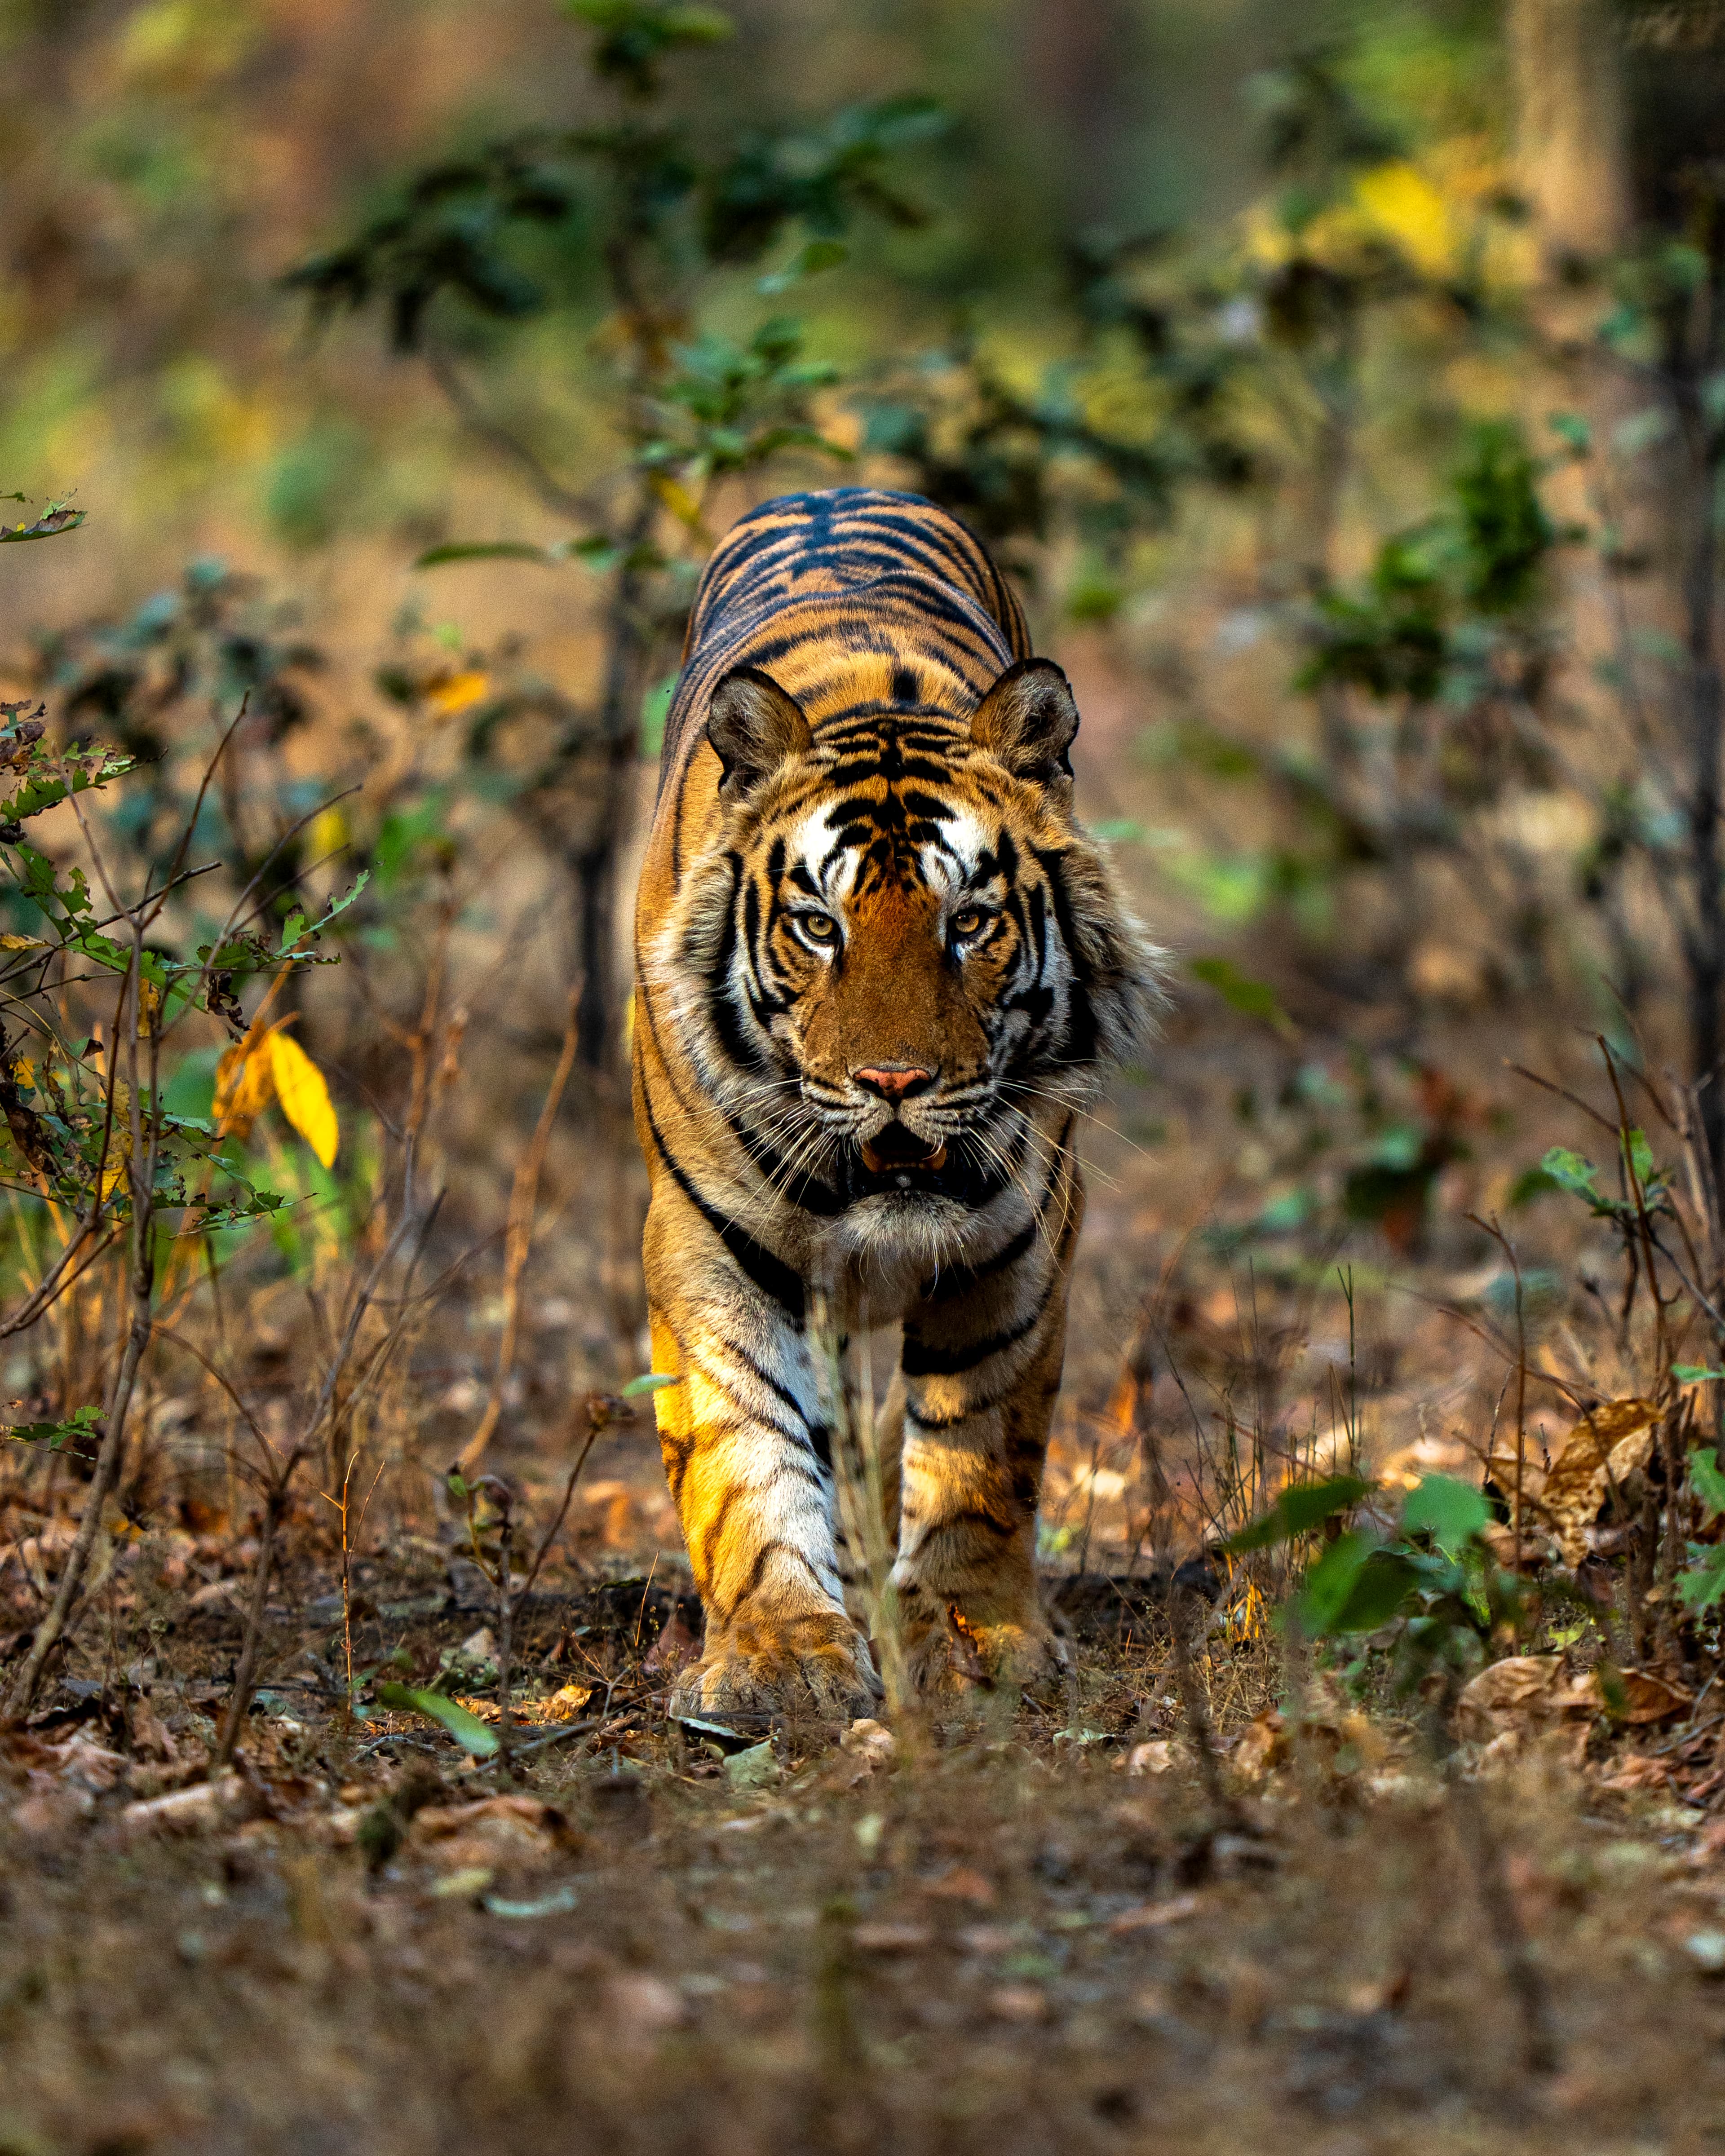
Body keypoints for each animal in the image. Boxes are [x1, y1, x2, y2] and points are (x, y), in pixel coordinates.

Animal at [631, 486, 1163, 1718]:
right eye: (817, 925)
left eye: (968, 921)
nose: (894, 1084)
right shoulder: (704, 1239)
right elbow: (744, 1451)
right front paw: (780, 1655)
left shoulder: (1018, 1236)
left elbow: (978, 1447)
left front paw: (970, 1637)